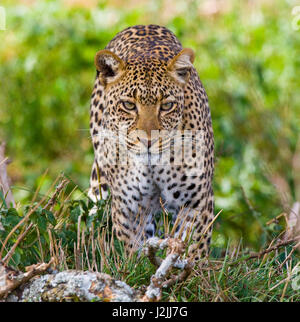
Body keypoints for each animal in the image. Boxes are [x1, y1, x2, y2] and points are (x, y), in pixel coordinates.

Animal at [88, 25, 214, 262]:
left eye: (166, 106)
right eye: (128, 105)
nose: (148, 140)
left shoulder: (196, 204)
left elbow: (193, 250)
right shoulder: (129, 209)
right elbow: (132, 251)